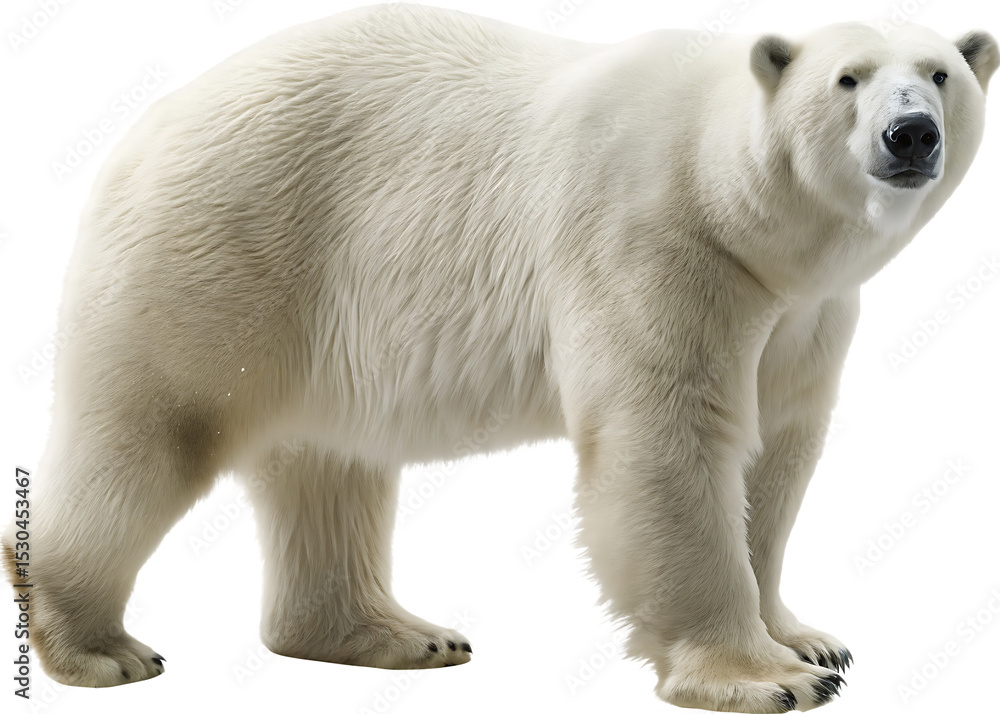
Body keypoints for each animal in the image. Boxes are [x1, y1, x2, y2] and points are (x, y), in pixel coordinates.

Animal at [2, 4, 996, 712]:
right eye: (848, 78)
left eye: (941, 73)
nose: (911, 134)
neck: (730, 196)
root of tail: (148, 123)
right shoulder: (658, 244)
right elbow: (668, 444)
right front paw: (768, 678)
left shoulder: (802, 310)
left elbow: (779, 452)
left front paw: (808, 637)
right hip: (222, 248)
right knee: (148, 431)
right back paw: (97, 646)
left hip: (314, 313)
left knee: (329, 466)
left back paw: (401, 634)